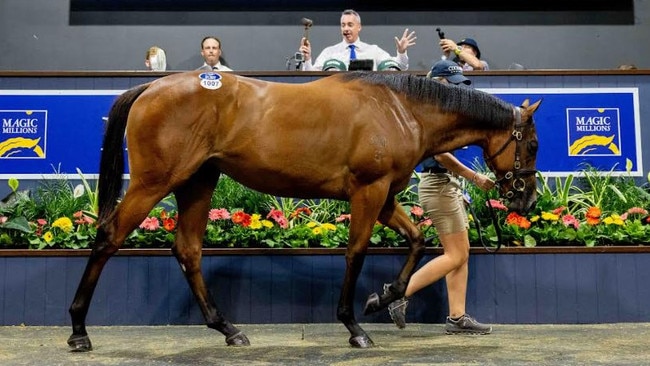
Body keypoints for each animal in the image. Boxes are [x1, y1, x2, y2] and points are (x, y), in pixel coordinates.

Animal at [68, 71, 540, 352]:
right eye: (532, 144)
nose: (525, 200)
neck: (399, 109)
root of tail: (150, 87)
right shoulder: (368, 193)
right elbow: (356, 254)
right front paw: (354, 327)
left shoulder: (386, 197)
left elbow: (418, 240)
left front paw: (383, 297)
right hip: (154, 183)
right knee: (108, 237)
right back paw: (78, 331)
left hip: (198, 182)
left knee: (188, 250)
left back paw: (229, 329)